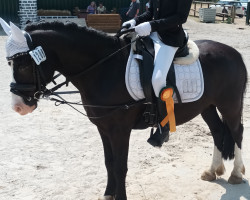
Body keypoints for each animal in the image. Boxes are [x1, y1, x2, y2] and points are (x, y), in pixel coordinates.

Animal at [2, 21, 248, 199]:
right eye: (10, 64)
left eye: (23, 64)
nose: (18, 106)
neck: (103, 68)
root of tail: (233, 53)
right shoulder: (103, 128)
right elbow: (109, 163)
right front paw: (108, 194)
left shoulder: (120, 130)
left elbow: (120, 166)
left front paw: (119, 197)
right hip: (207, 106)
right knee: (217, 131)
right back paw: (212, 171)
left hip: (230, 105)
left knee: (236, 132)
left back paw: (236, 174)